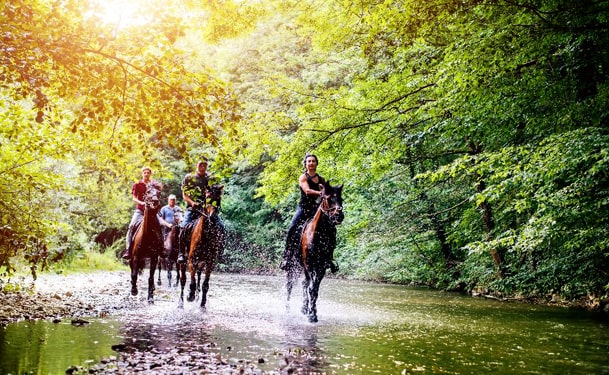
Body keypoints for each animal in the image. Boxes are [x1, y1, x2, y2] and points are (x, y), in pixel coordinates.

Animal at [284, 182, 342, 324]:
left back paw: (304, 308)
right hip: (293, 265)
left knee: (304, 283)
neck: (318, 234)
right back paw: (287, 309)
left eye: (341, 199)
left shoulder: (321, 266)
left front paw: (312, 313)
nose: (339, 216)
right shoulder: (309, 265)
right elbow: (311, 288)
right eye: (328, 198)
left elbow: (315, 289)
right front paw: (311, 315)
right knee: (289, 285)